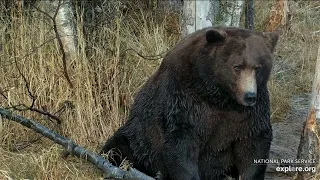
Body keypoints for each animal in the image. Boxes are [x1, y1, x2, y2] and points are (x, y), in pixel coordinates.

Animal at [100, 27, 278, 180]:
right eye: (237, 66)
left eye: (258, 67)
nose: (249, 96)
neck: (219, 96)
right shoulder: (184, 99)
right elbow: (182, 142)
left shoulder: (249, 112)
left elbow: (253, 143)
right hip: (138, 139)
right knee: (118, 149)